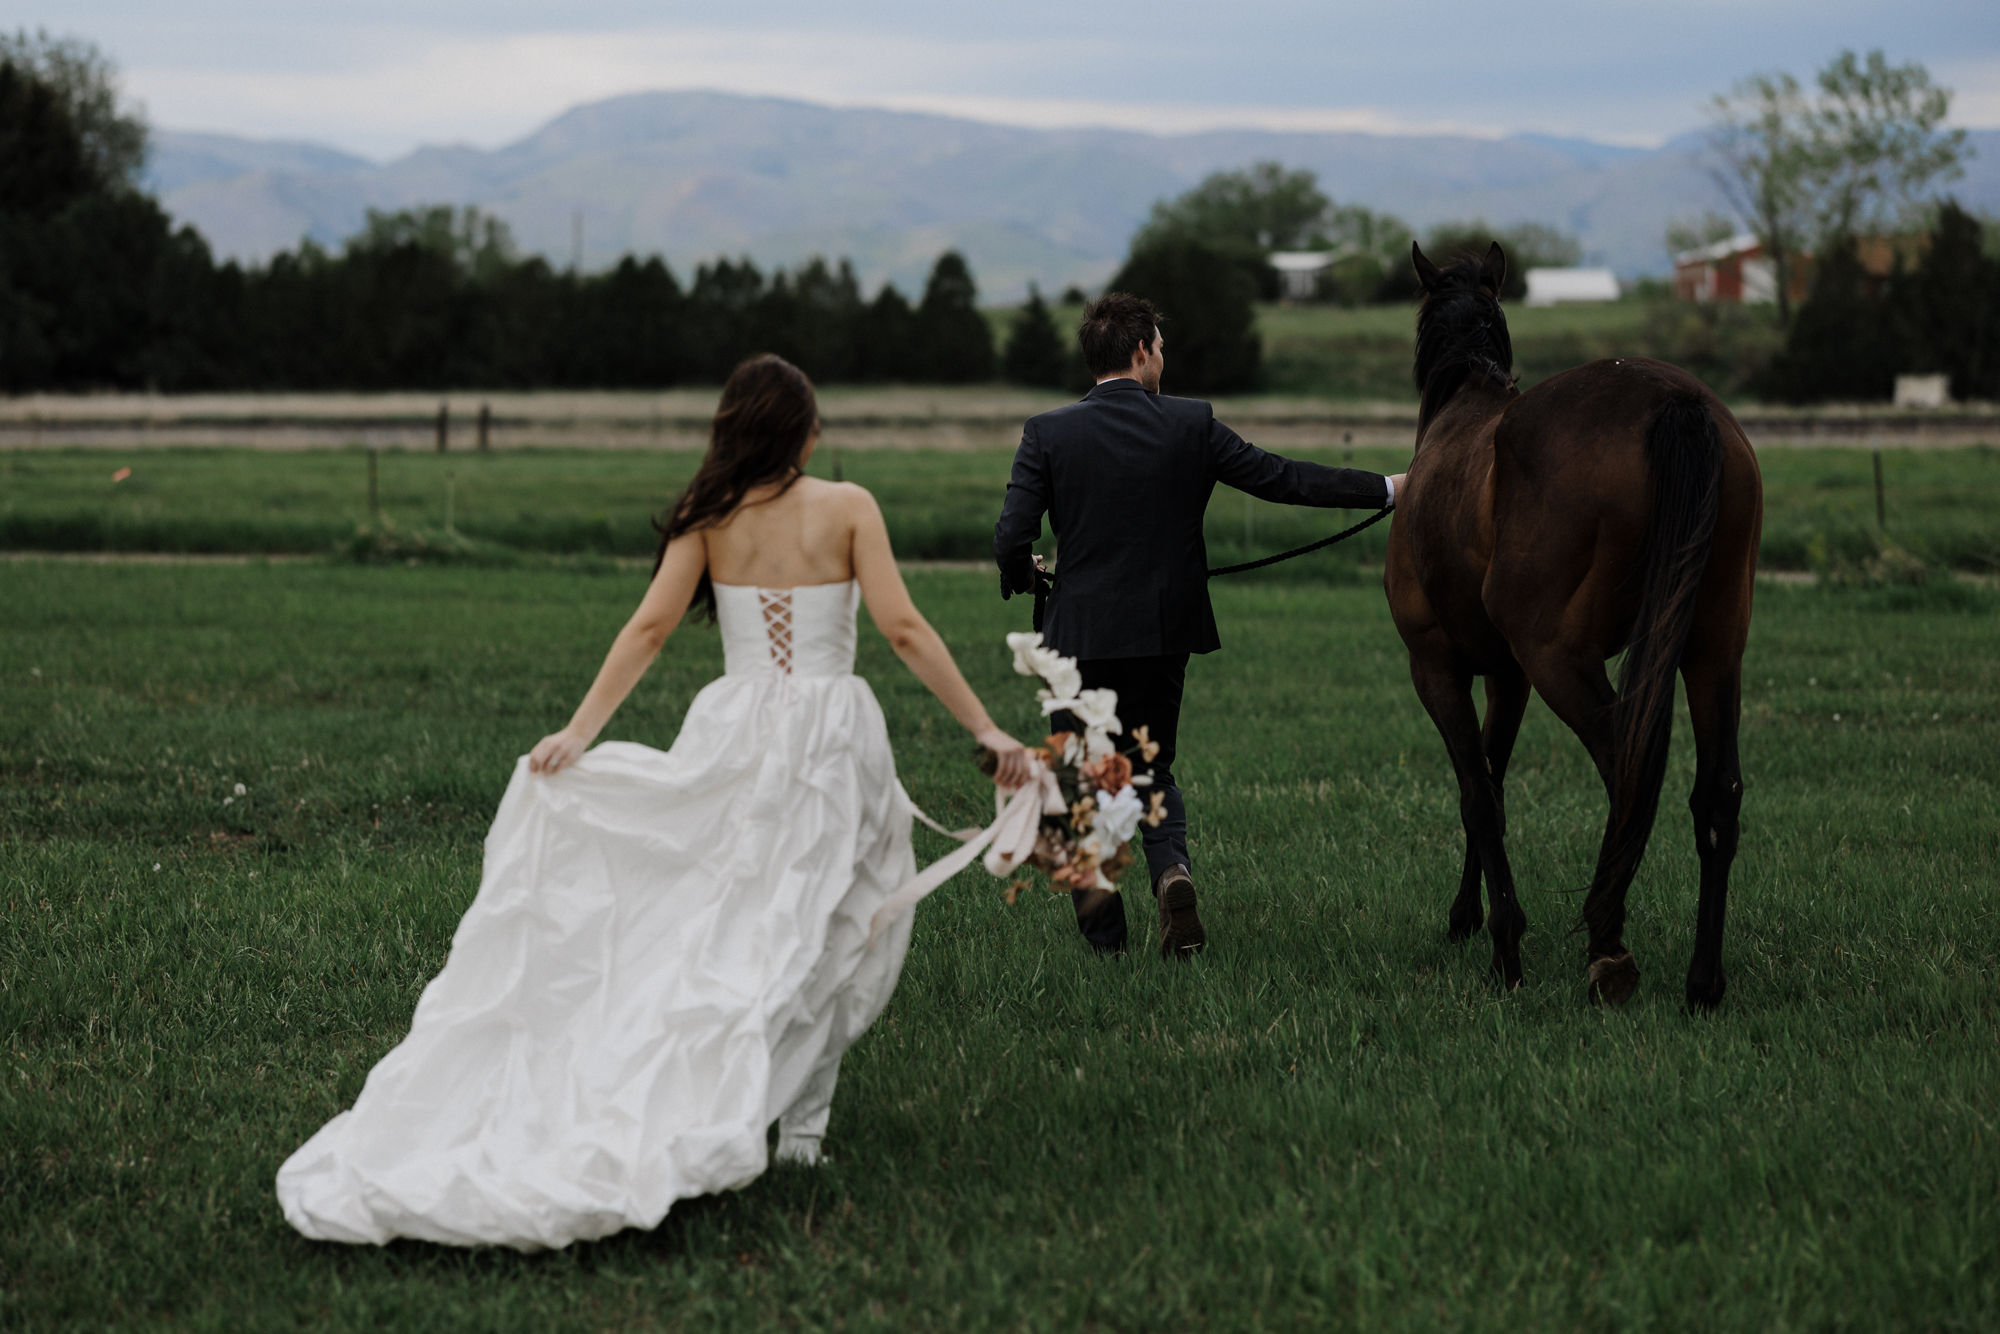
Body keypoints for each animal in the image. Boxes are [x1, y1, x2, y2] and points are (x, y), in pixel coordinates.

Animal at [1392, 243, 1768, 1012]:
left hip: (1561, 658)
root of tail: (1676, 401)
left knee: (1628, 771)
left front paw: (1505, 944)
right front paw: (1469, 915)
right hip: (1714, 647)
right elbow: (1492, 782)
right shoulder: (1507, 676)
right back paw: (1702, 982)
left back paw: (1608, 947)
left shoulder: (1437, 667)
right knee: (1716, 794)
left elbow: (1478, 795)